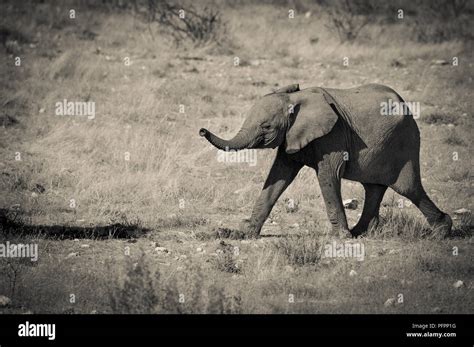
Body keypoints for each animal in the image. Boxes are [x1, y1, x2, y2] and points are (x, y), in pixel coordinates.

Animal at [199, 84, 452, 239]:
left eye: (266, 127)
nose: (202, 130)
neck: (294, 98)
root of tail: (406, 105)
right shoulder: (293, 137)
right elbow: (278, 177)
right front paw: (243, 233)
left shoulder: (333, 136)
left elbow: (328, 176)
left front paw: (340, 238)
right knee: (374, 188)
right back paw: (361, 232)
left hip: (405, 142)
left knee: (408, 188)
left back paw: (442, 231)